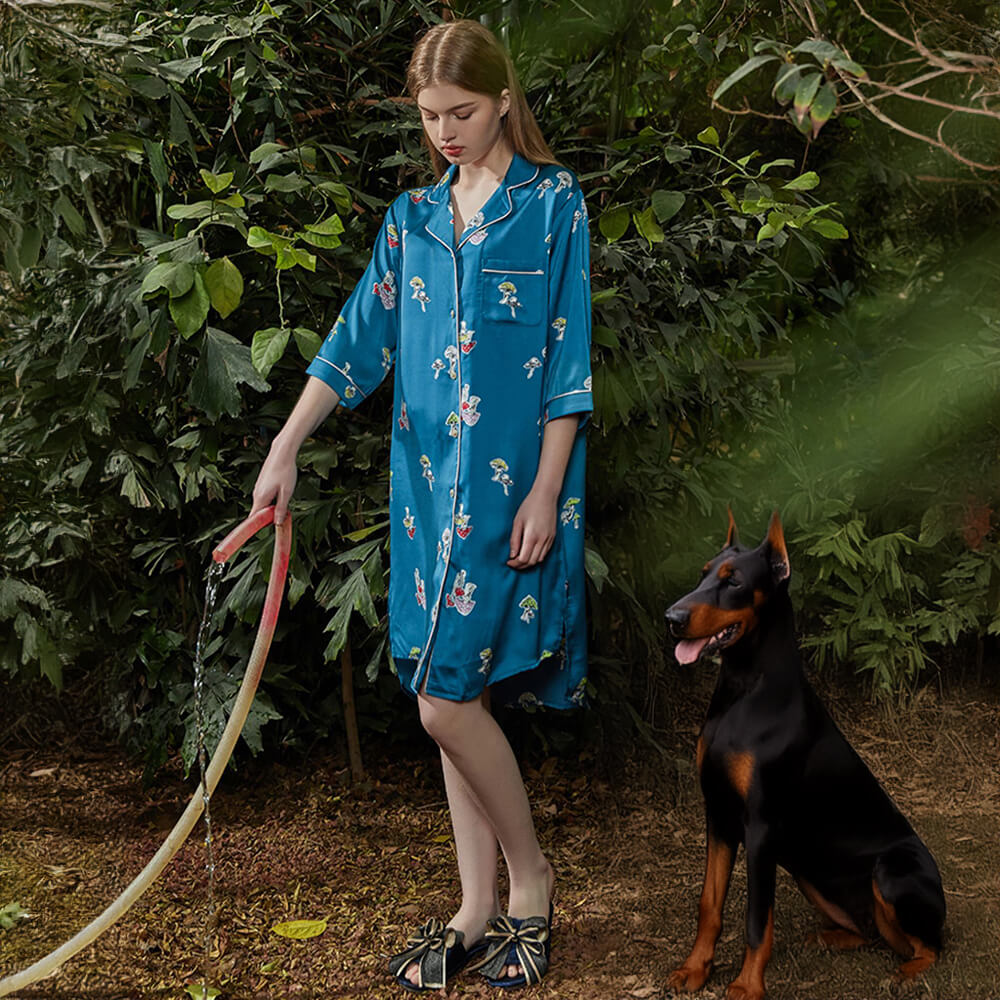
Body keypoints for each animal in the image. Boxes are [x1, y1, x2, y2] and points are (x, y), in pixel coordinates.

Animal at [664, 512, 944, 996]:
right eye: (702, 574)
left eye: (733, 581)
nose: (672, 618)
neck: (743, 689)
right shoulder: (718, 814)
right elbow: (709, 903)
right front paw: (696, 968)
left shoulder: (760, 826)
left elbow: (758, 918)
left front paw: (747, 986)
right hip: (807, 871)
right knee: (873, 934)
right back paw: (831, 937)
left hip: (890, 870)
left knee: (930, 948)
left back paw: (905, 974)